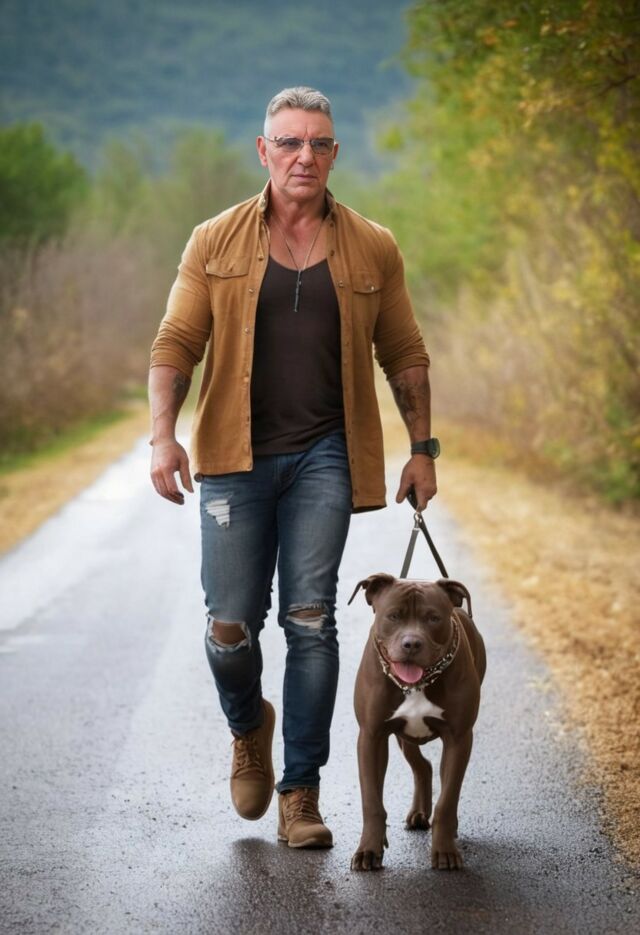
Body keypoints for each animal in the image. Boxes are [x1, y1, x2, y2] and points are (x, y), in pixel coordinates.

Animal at [349, 573, 486, 871]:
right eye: (393, 616)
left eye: (433, 618)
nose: (411, 643)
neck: (417, 684)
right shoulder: (371, 736)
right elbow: (372, 801)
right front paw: (368, 850)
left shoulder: (459, 738)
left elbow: (447, 800)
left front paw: (445, 850)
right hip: (403, 736)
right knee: (421, 766)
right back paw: (417, 813)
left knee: (434, 772)